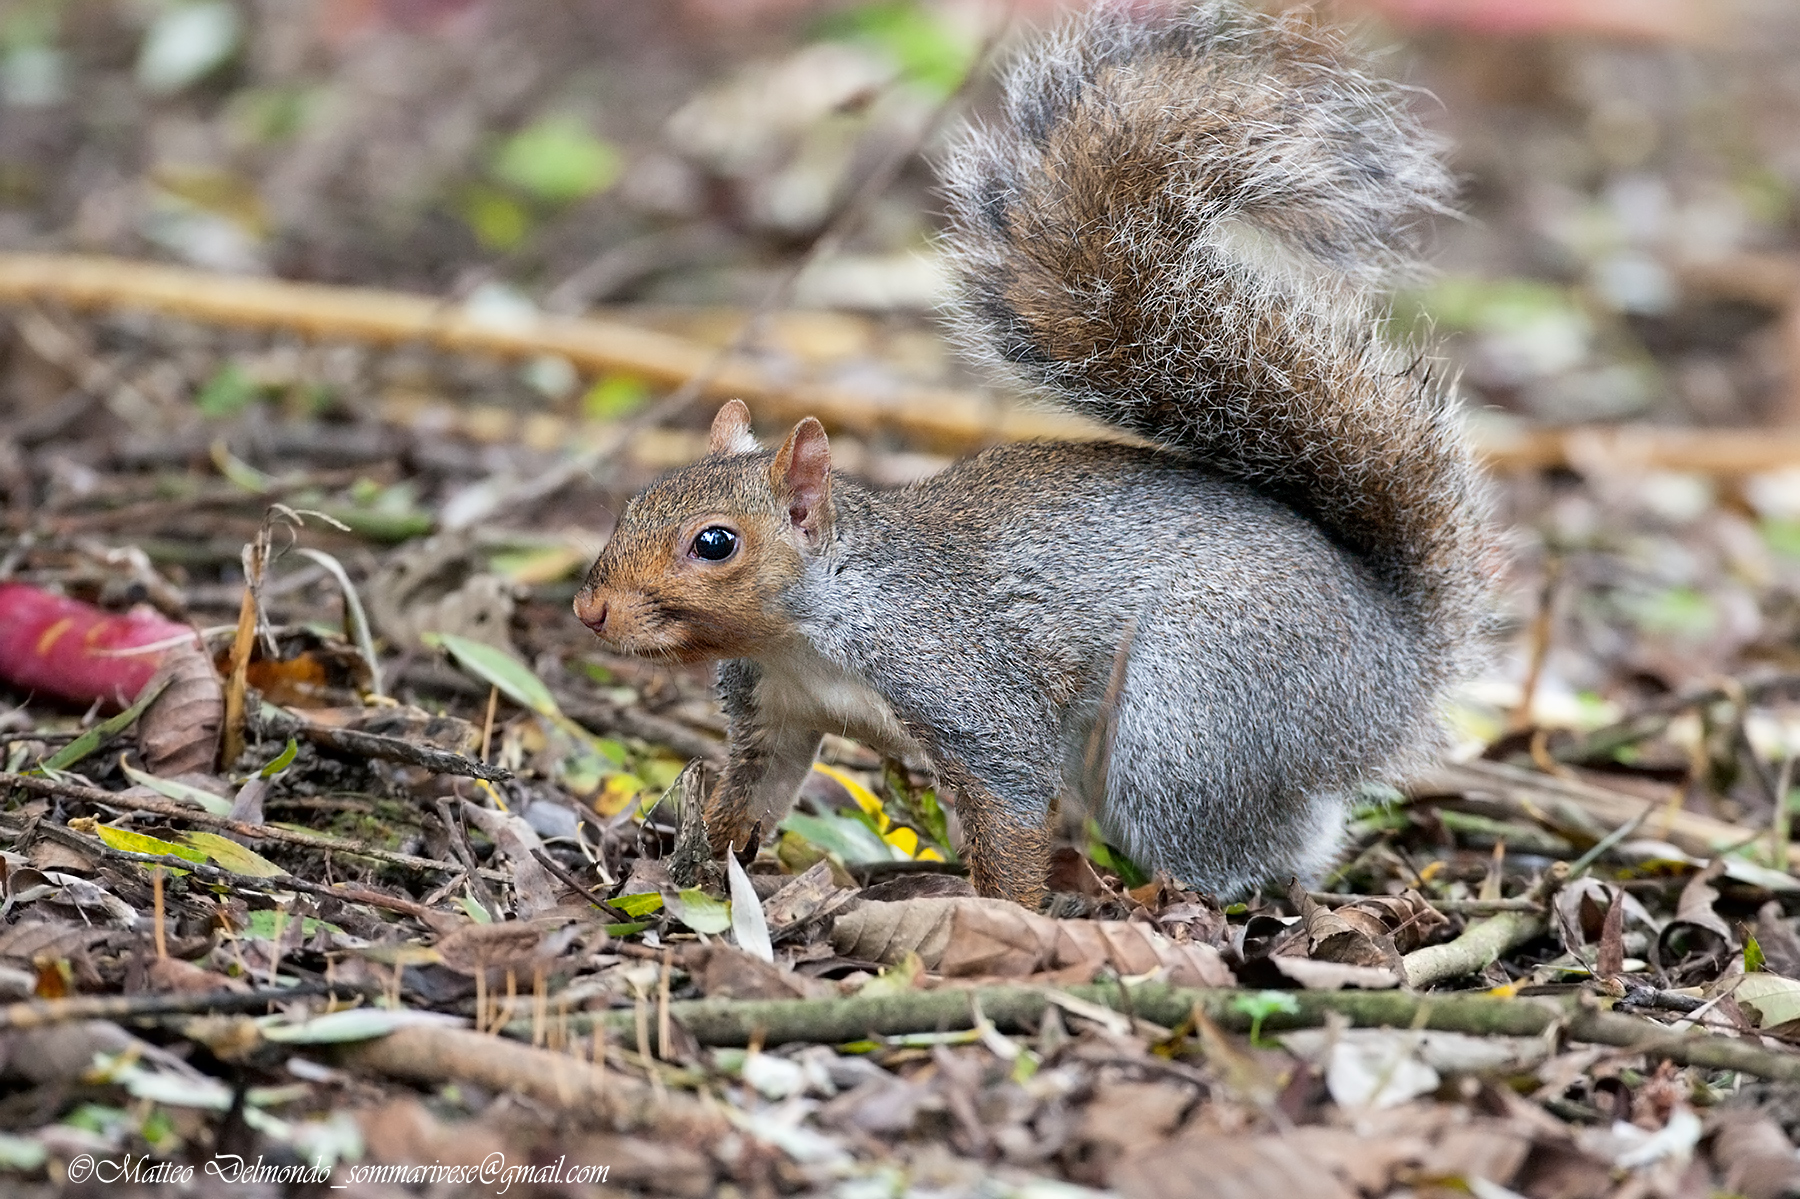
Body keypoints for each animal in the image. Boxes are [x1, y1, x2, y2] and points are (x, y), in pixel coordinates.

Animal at [573, 0, 1499, 907]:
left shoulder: (968, 692)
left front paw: (999, 916)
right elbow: (754, 792)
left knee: (1236, 849)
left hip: (1186, 724)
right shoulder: (776, 711)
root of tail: (1399, 657)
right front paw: (699, 868)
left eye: (715, 542)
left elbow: (1011, 810)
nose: (591, 609)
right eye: (632, 502)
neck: (810, 627)